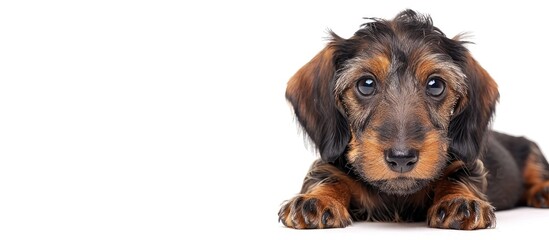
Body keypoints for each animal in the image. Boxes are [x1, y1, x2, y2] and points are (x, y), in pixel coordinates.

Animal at [278, 9, 548, 231]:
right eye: (366, 84)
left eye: (436, 85)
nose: (401, 158)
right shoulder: (331, 163)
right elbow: (327, 174)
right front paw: (316, 199)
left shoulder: (466, 163)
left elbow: (458, 175)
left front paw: (459, 200)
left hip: (531, 148)